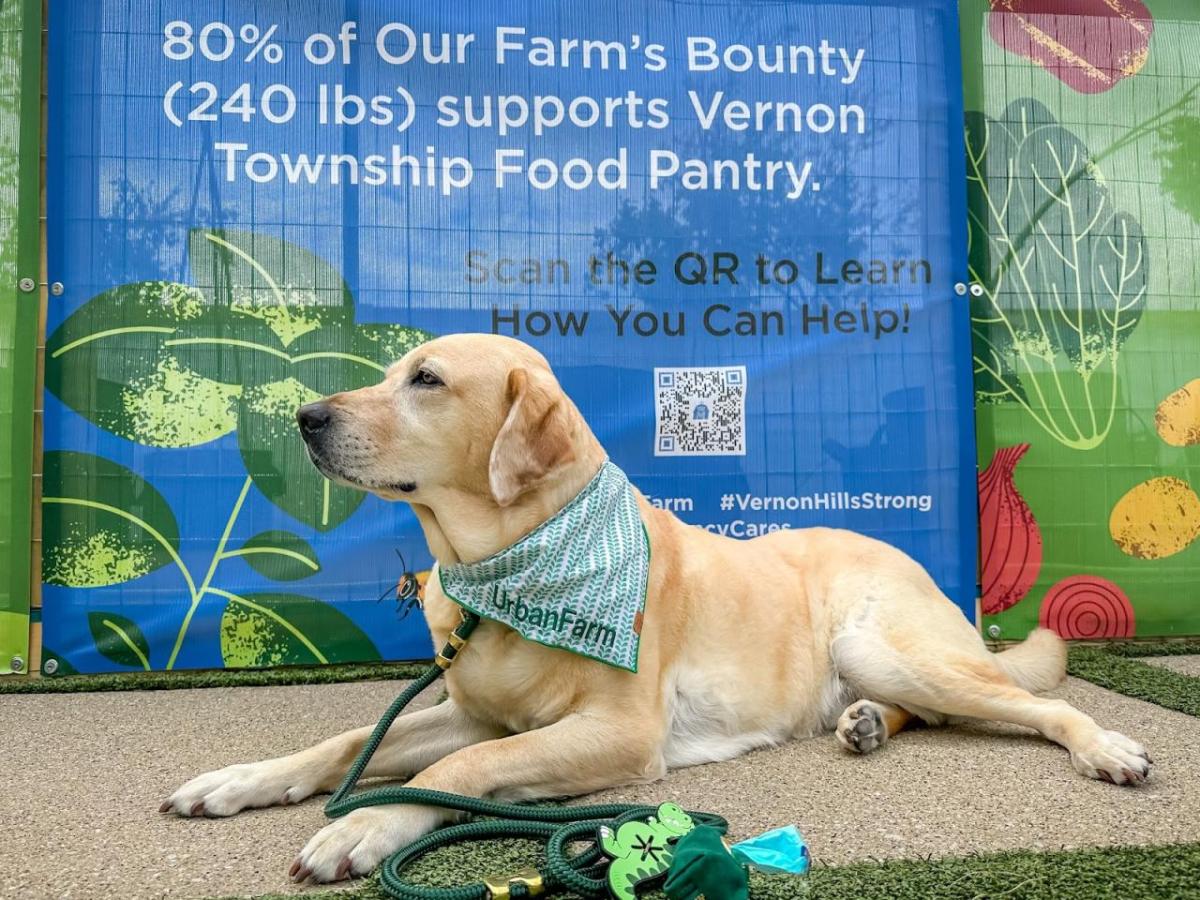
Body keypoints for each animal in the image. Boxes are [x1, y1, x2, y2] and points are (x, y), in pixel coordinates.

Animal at [159, 331, 1142, 883]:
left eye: (426, 380)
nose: (305, 416)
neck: (505, 567)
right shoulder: (472, 711)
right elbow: (346, 742)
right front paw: (241, 781)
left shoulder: (619, 733)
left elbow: (459, 773)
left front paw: (366, 824)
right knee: (928, 712)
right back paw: (864, 723)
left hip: (886, 645)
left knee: (1037, 703)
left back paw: (1107, 747)